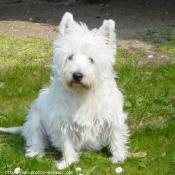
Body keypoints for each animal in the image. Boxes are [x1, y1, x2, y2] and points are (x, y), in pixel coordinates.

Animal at [0, 11, 129, 170]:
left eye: (91, 59)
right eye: (70, 57)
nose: (77, 75)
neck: (82, 94)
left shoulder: (112, 117)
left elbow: (116, 137)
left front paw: (119, 157)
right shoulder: (62, 123)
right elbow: (66, 144)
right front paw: (68, 163)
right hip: (35, 119)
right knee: (35, 138)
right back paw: (35, 153)